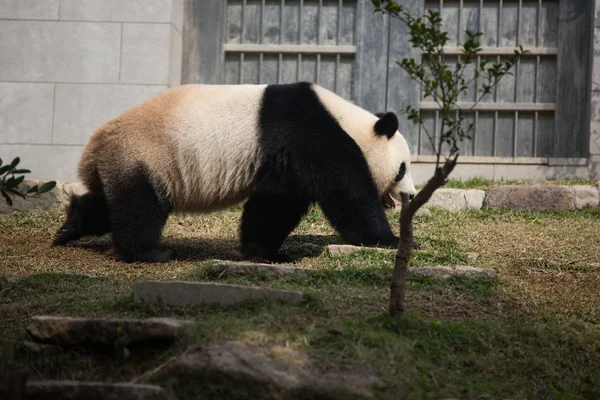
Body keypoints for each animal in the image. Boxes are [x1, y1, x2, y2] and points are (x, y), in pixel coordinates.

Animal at [52, 81, 418, 264]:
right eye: (403, 168)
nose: (412, 194)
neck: (346, 119)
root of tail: (94, 147)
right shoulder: (308, 135)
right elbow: (348, 194)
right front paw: (390, 240)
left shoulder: (283, 164)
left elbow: (274, 207)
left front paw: (267, 254)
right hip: (145, 155)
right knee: (138, 208)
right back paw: (151, 253)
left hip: (123, 162)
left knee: (109, 203)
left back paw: (71, 226)